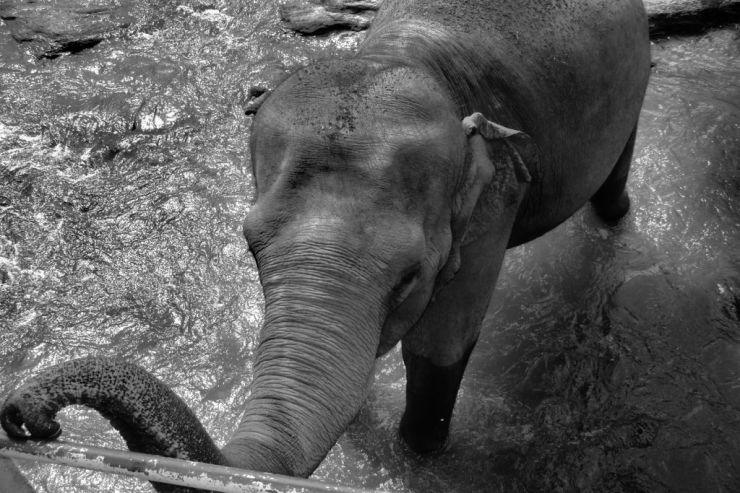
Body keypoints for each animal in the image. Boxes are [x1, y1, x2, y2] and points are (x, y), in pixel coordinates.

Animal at [1, 0, 651, 490]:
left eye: (411, 277)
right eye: (250, 246)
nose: (29, 420)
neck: (402, 56)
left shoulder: (495, 196)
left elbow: (440, 346)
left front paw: (420, 453)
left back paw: (614, 222)